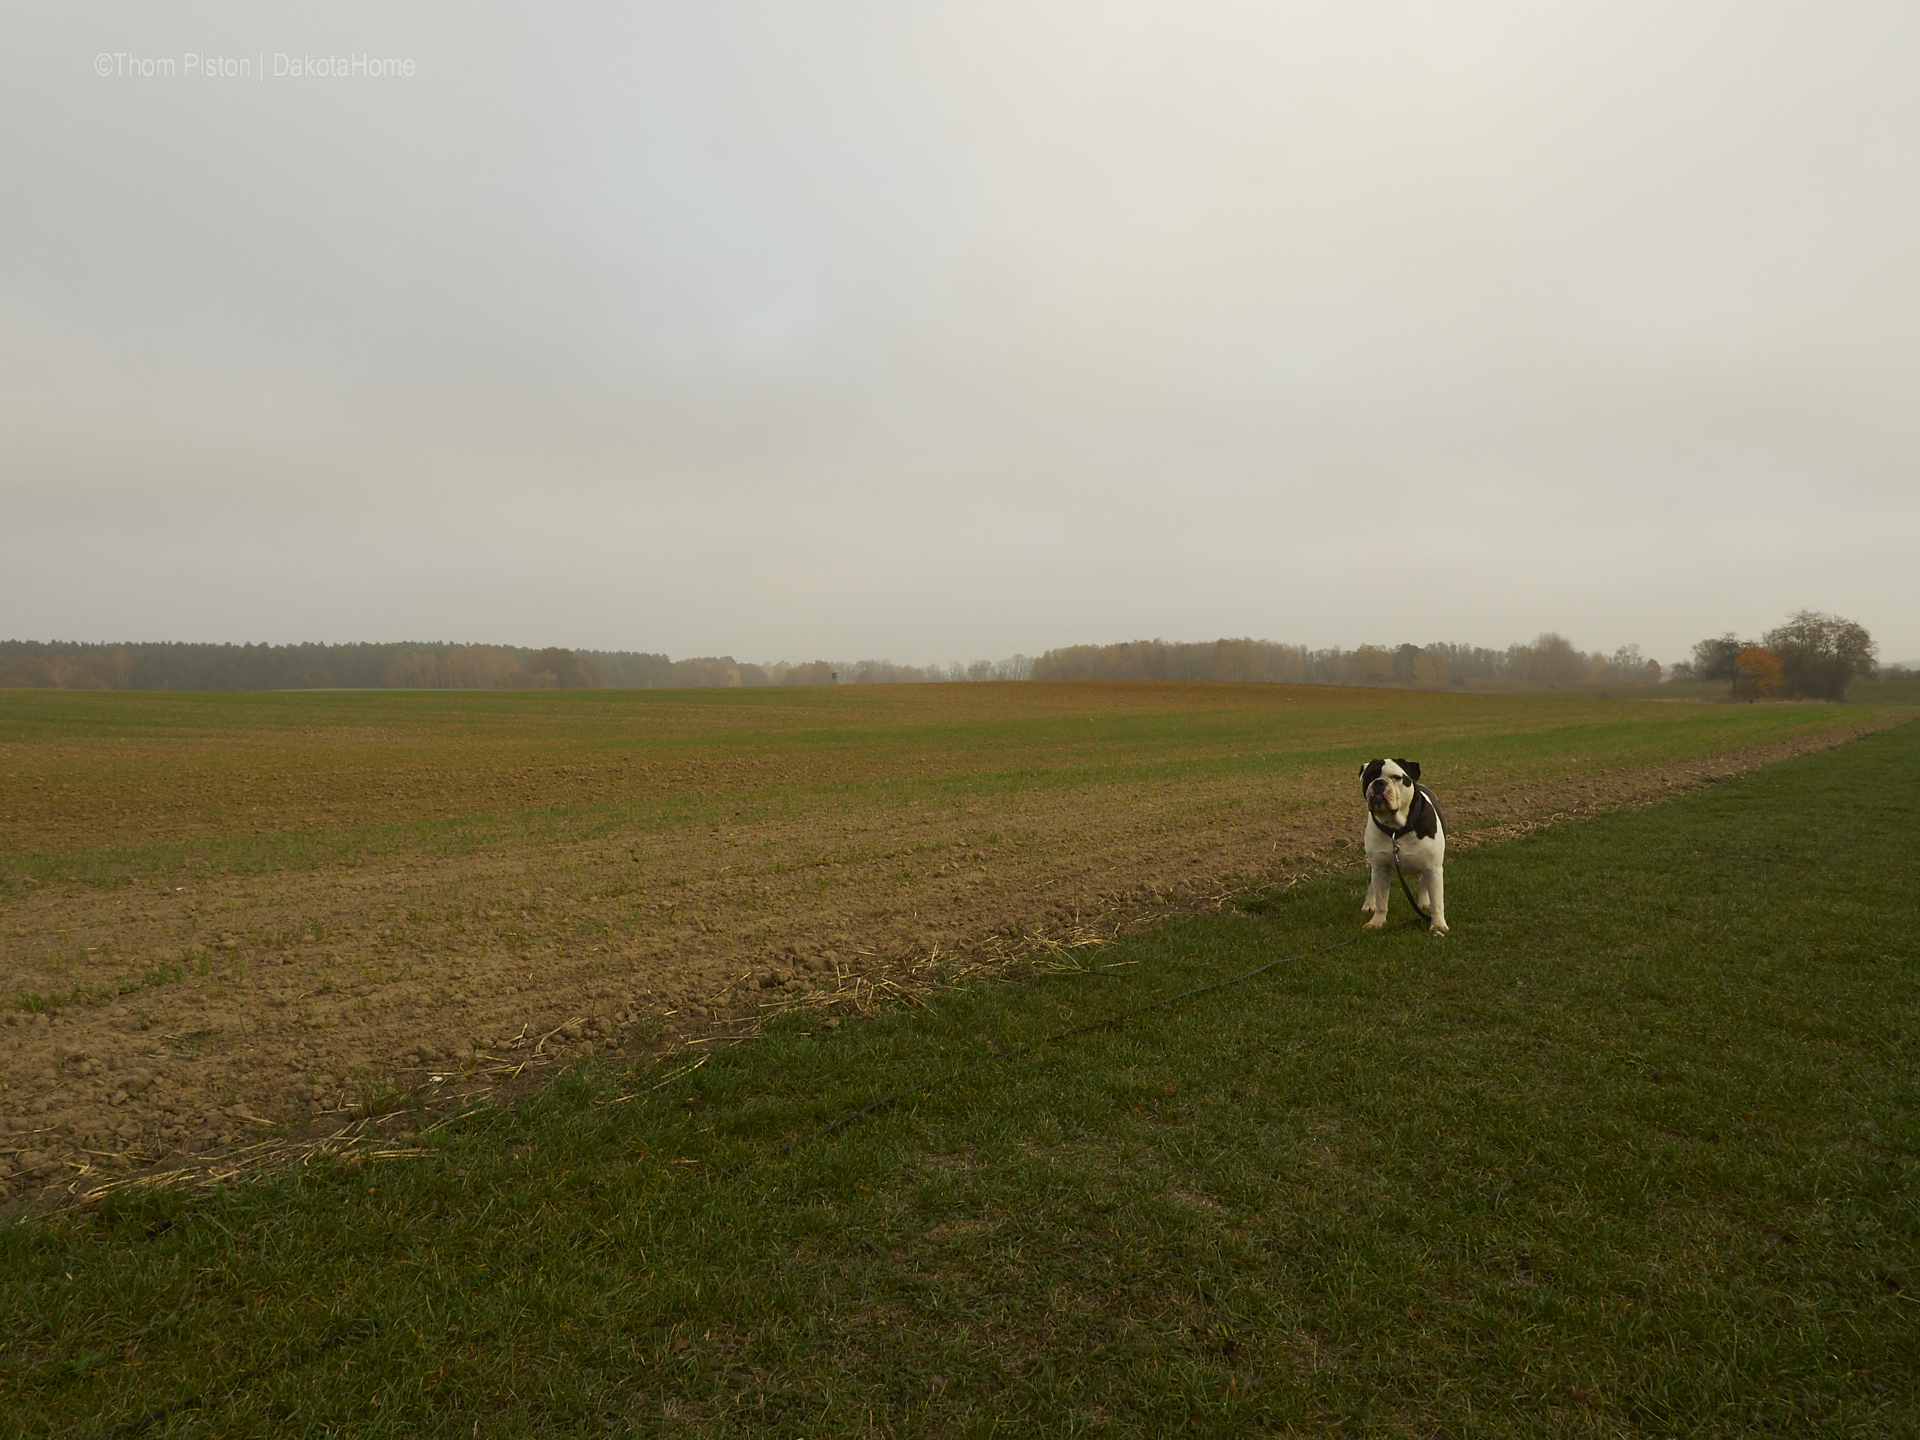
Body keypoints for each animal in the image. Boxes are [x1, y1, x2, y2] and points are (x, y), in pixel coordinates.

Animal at [1359, 760, 1443, 940]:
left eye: (1396, 777)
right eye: (1370, 776)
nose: (1379, 783)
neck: (1396, 829)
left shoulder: (1433, 868)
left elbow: (1437, 900)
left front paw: (1439, 924)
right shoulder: (1380, 868)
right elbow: (1381, 899)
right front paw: (1377, 921)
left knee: (1423, 882)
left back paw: (1424, 902)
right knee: (1371, 884)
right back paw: (1369, 904)